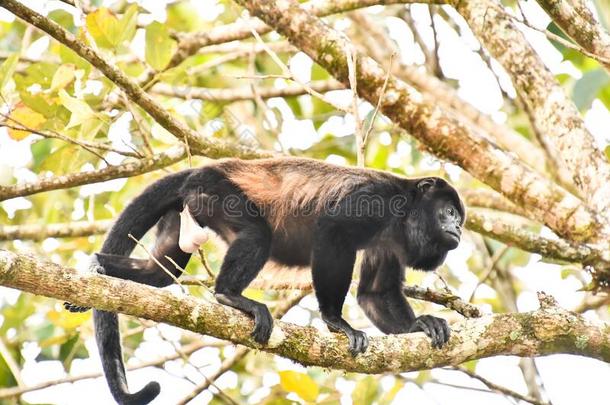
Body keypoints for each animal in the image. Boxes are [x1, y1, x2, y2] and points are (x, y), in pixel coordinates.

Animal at [65, 156, 460, 402]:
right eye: (450, 212)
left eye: (459, 217)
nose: (457, 228)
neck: (406, 211)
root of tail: (200, 170)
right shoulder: (377, 200)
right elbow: (332, 230)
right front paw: (337, 322)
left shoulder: (392, 240)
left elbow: (375, 294)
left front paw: (419, 325)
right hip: (217, 191)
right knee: (257, 235)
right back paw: (229, 295)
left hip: (184, 210)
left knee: (162, 271)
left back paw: (97, 266)